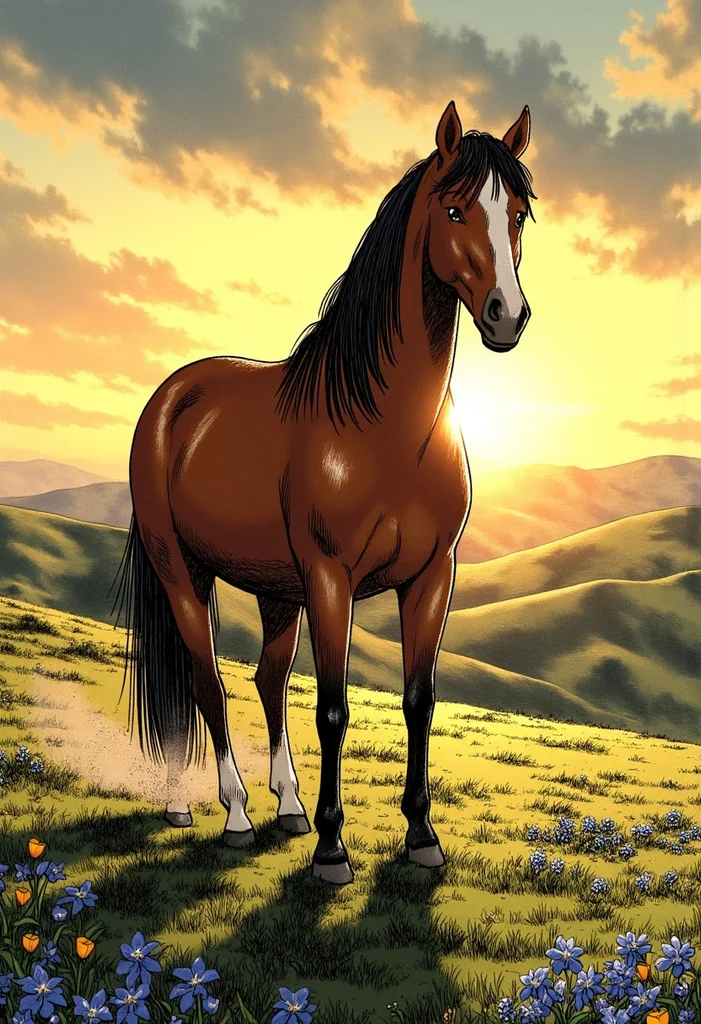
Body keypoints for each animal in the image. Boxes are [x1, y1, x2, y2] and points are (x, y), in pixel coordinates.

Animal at [116, 100, 536, 885]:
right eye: (455, 208)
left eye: (517, 213)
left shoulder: (431, 578)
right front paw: (333, 852)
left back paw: (272, 807)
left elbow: (418, 700)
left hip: (273, 588)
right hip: (183, 572)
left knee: (263, 681)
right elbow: (335, 709)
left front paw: (421, 839)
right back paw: (235, 815)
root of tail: (170, 396)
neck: (381, 424)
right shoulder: (330, 578)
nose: (507, 316)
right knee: (206, 682)